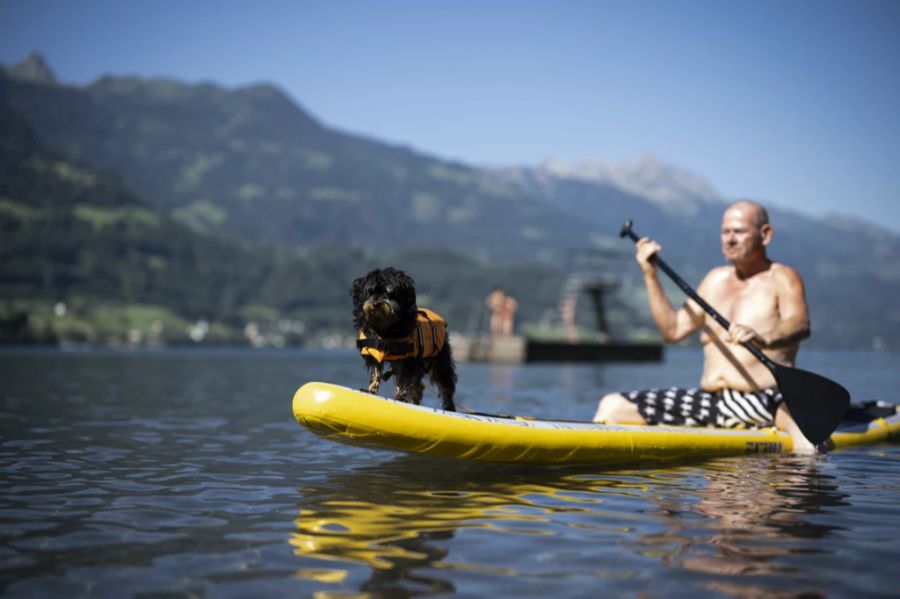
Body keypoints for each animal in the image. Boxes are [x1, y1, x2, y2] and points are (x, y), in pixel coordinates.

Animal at [352, 268, 458, 412]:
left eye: (388, 292)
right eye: (370, 291)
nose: (375, 304)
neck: (386, 328)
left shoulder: (407, 361)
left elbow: (403, 380)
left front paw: (399, 397)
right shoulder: (373, 352)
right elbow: (376, 371)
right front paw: (371, 389)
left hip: (440, 361)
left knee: (445, 386)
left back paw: (448, 407)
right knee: (418, 387)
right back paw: (414, 402)